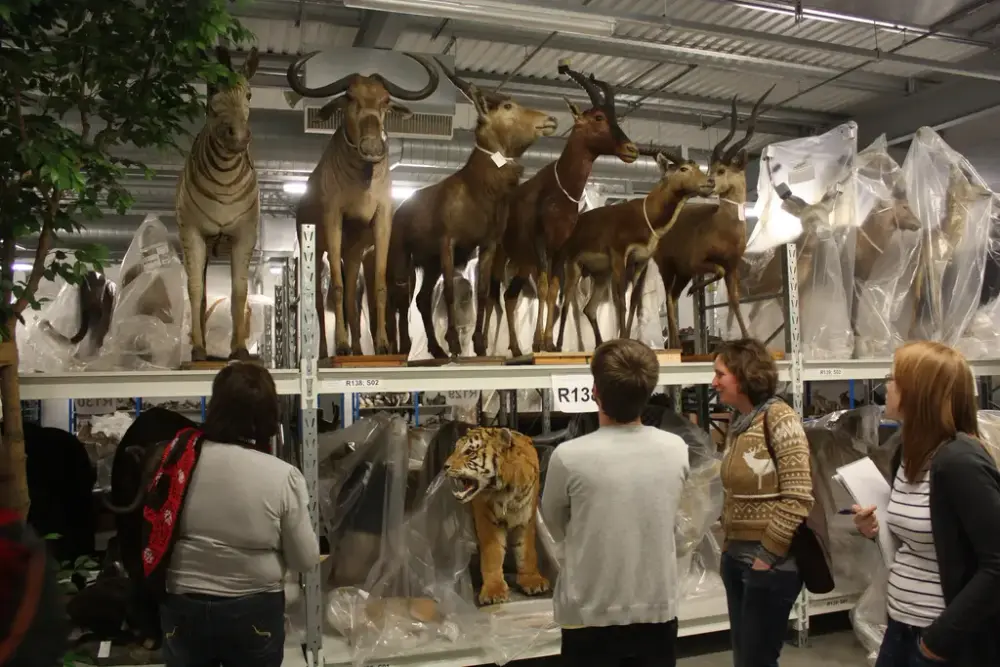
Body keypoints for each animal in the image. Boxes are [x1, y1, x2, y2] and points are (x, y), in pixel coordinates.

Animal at [448, 428, 556, 604]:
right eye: (455, 449)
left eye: (469, 452)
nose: (445, 466)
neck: (507, 490)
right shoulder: (487, 521)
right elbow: (492, 554)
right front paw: (494, 591)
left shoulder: (526, 518)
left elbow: (526, 550)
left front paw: (532, 580)